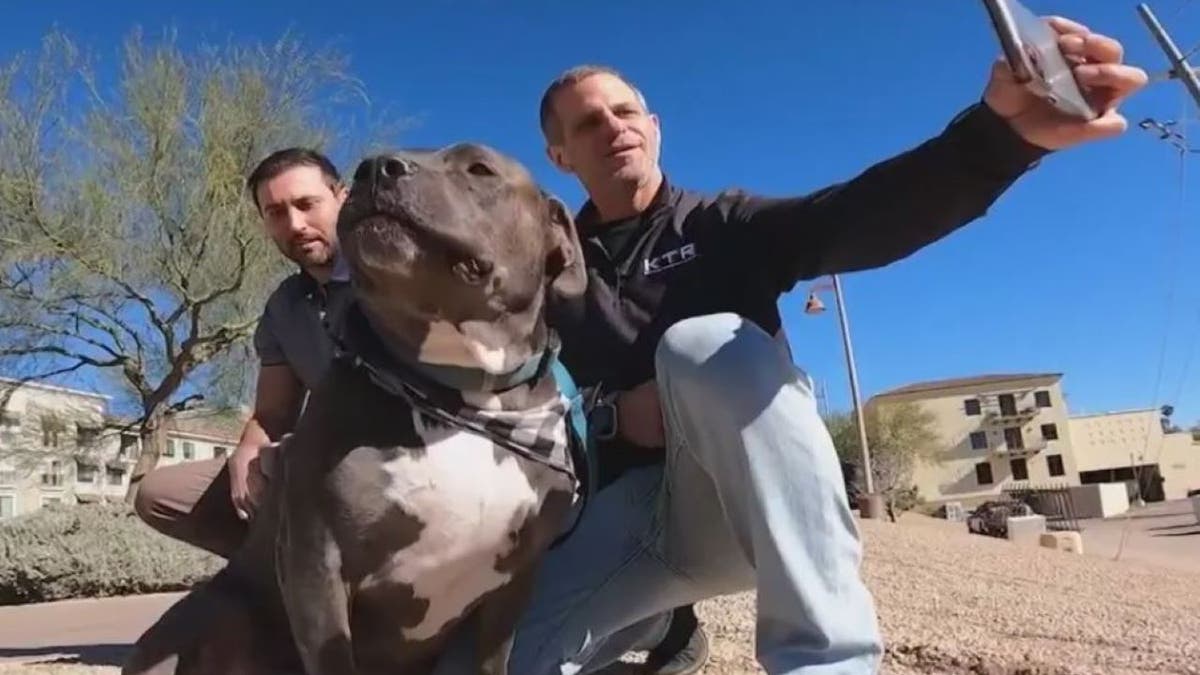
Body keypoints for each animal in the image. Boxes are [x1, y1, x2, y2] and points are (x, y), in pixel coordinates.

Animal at [121, 142, 590, 672]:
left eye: (479, 168)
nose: (376, 167)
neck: (460, 393)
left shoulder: (516, 581)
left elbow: (493, 658)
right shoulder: (316, 561)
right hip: (215, 610)